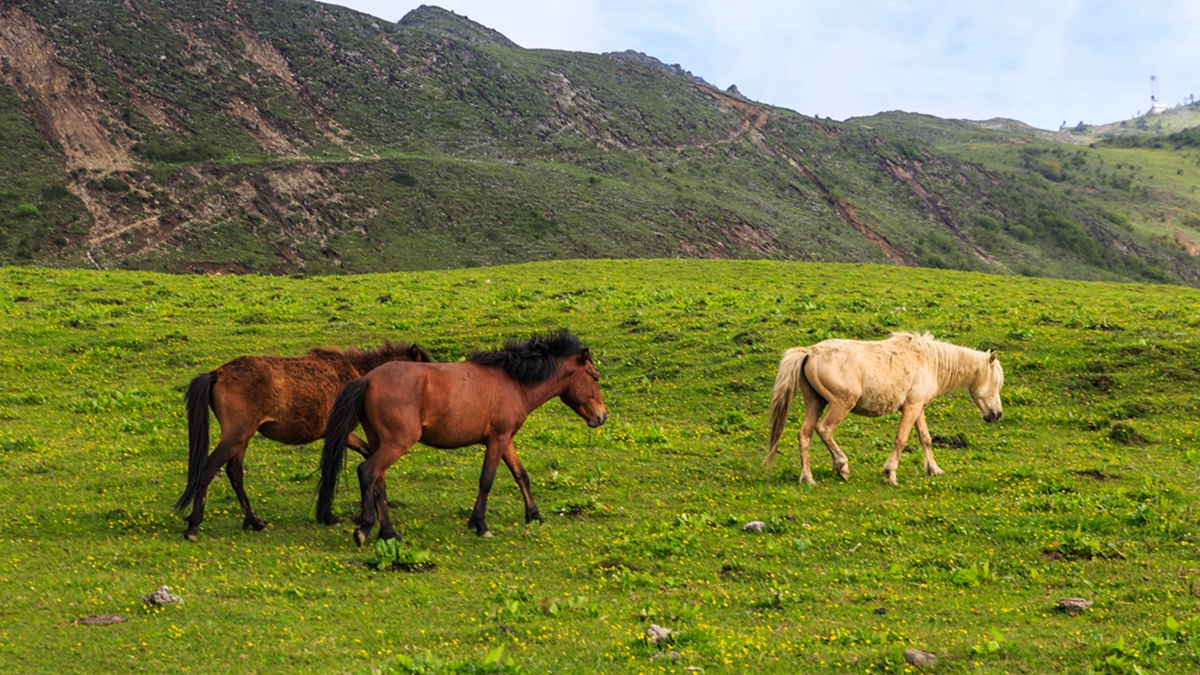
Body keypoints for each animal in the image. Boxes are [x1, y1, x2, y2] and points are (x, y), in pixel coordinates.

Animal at [177, 338, 432, 538]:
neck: (358, 374)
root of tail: (217, 374)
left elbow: (365, 456)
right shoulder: (339, 432)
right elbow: (332, 469)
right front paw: (329, 515)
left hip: (242, 438)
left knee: (234, 473)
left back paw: (255, 522)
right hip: (236, 436)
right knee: (209, 468)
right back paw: (193, 525)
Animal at [316, 329, 609, 542]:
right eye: (594, 377)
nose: (601, 416)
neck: (513, 382)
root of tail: (367, 380)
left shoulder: (506, 439)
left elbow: (520, 475)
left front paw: (534, 516)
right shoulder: (497, 439)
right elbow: (487, 480)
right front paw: (480, 524)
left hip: (381, 442)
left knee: (378, 481)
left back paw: (389, 534)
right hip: (397, 443)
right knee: (367, 471)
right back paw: (365, 528)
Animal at [768, 331, 1003, 482]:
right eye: (996, 382)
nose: (997, 414)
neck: (930, 361)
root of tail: (809, 352)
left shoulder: (918, 408)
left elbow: (925, 439)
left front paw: (934, 469)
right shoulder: (911, 408)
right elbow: (901, 439)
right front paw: (890, 473)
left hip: (815, 402)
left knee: (804, 435)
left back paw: (808, 478)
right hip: (841, 404)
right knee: (824, 429)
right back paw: (842, 466)